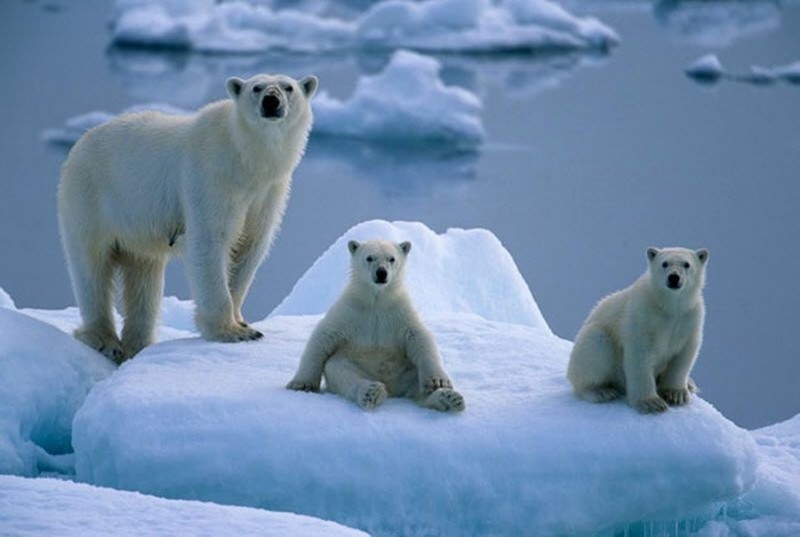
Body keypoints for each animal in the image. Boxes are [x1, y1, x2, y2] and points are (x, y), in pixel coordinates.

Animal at [58, 73, 318, 362]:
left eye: (288, 87)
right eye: (257, 87)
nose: (271, 102)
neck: (246, 160)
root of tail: (79, 144)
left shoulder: (268, 192)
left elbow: (250, 247)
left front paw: (242, 322)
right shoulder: (211, 177)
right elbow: (210, 241)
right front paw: (231, 332)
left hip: (136, 228)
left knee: (144, 278)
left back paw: (137, 344)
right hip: (90, 199)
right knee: (92, 267)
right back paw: (105, 341)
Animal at [288, 239, 466, 410]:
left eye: (392, 258)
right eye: (369, 258)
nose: (381, 273)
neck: (376, 299)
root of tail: (392, 387)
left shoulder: (399, 311)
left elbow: (418, 336)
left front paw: (439, 382)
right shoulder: (350, 310)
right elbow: (324, 335)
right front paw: (301, 384)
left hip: (405, 368)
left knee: (417, 382)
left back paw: (449, 398)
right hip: (353, 362)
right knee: (342, 372)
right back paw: (371, 392)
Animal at [564, 247, 708, 414]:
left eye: (687, 264)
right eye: (664, 263)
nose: (674, 277)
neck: (669, 306)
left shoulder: (690, 317)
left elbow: (684, 355)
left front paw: (676, 394)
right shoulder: (643, 315)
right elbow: (640, 356)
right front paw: (651, 403)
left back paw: (690, 384)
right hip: (593, 345)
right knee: (595, 345)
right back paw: (601, 391)